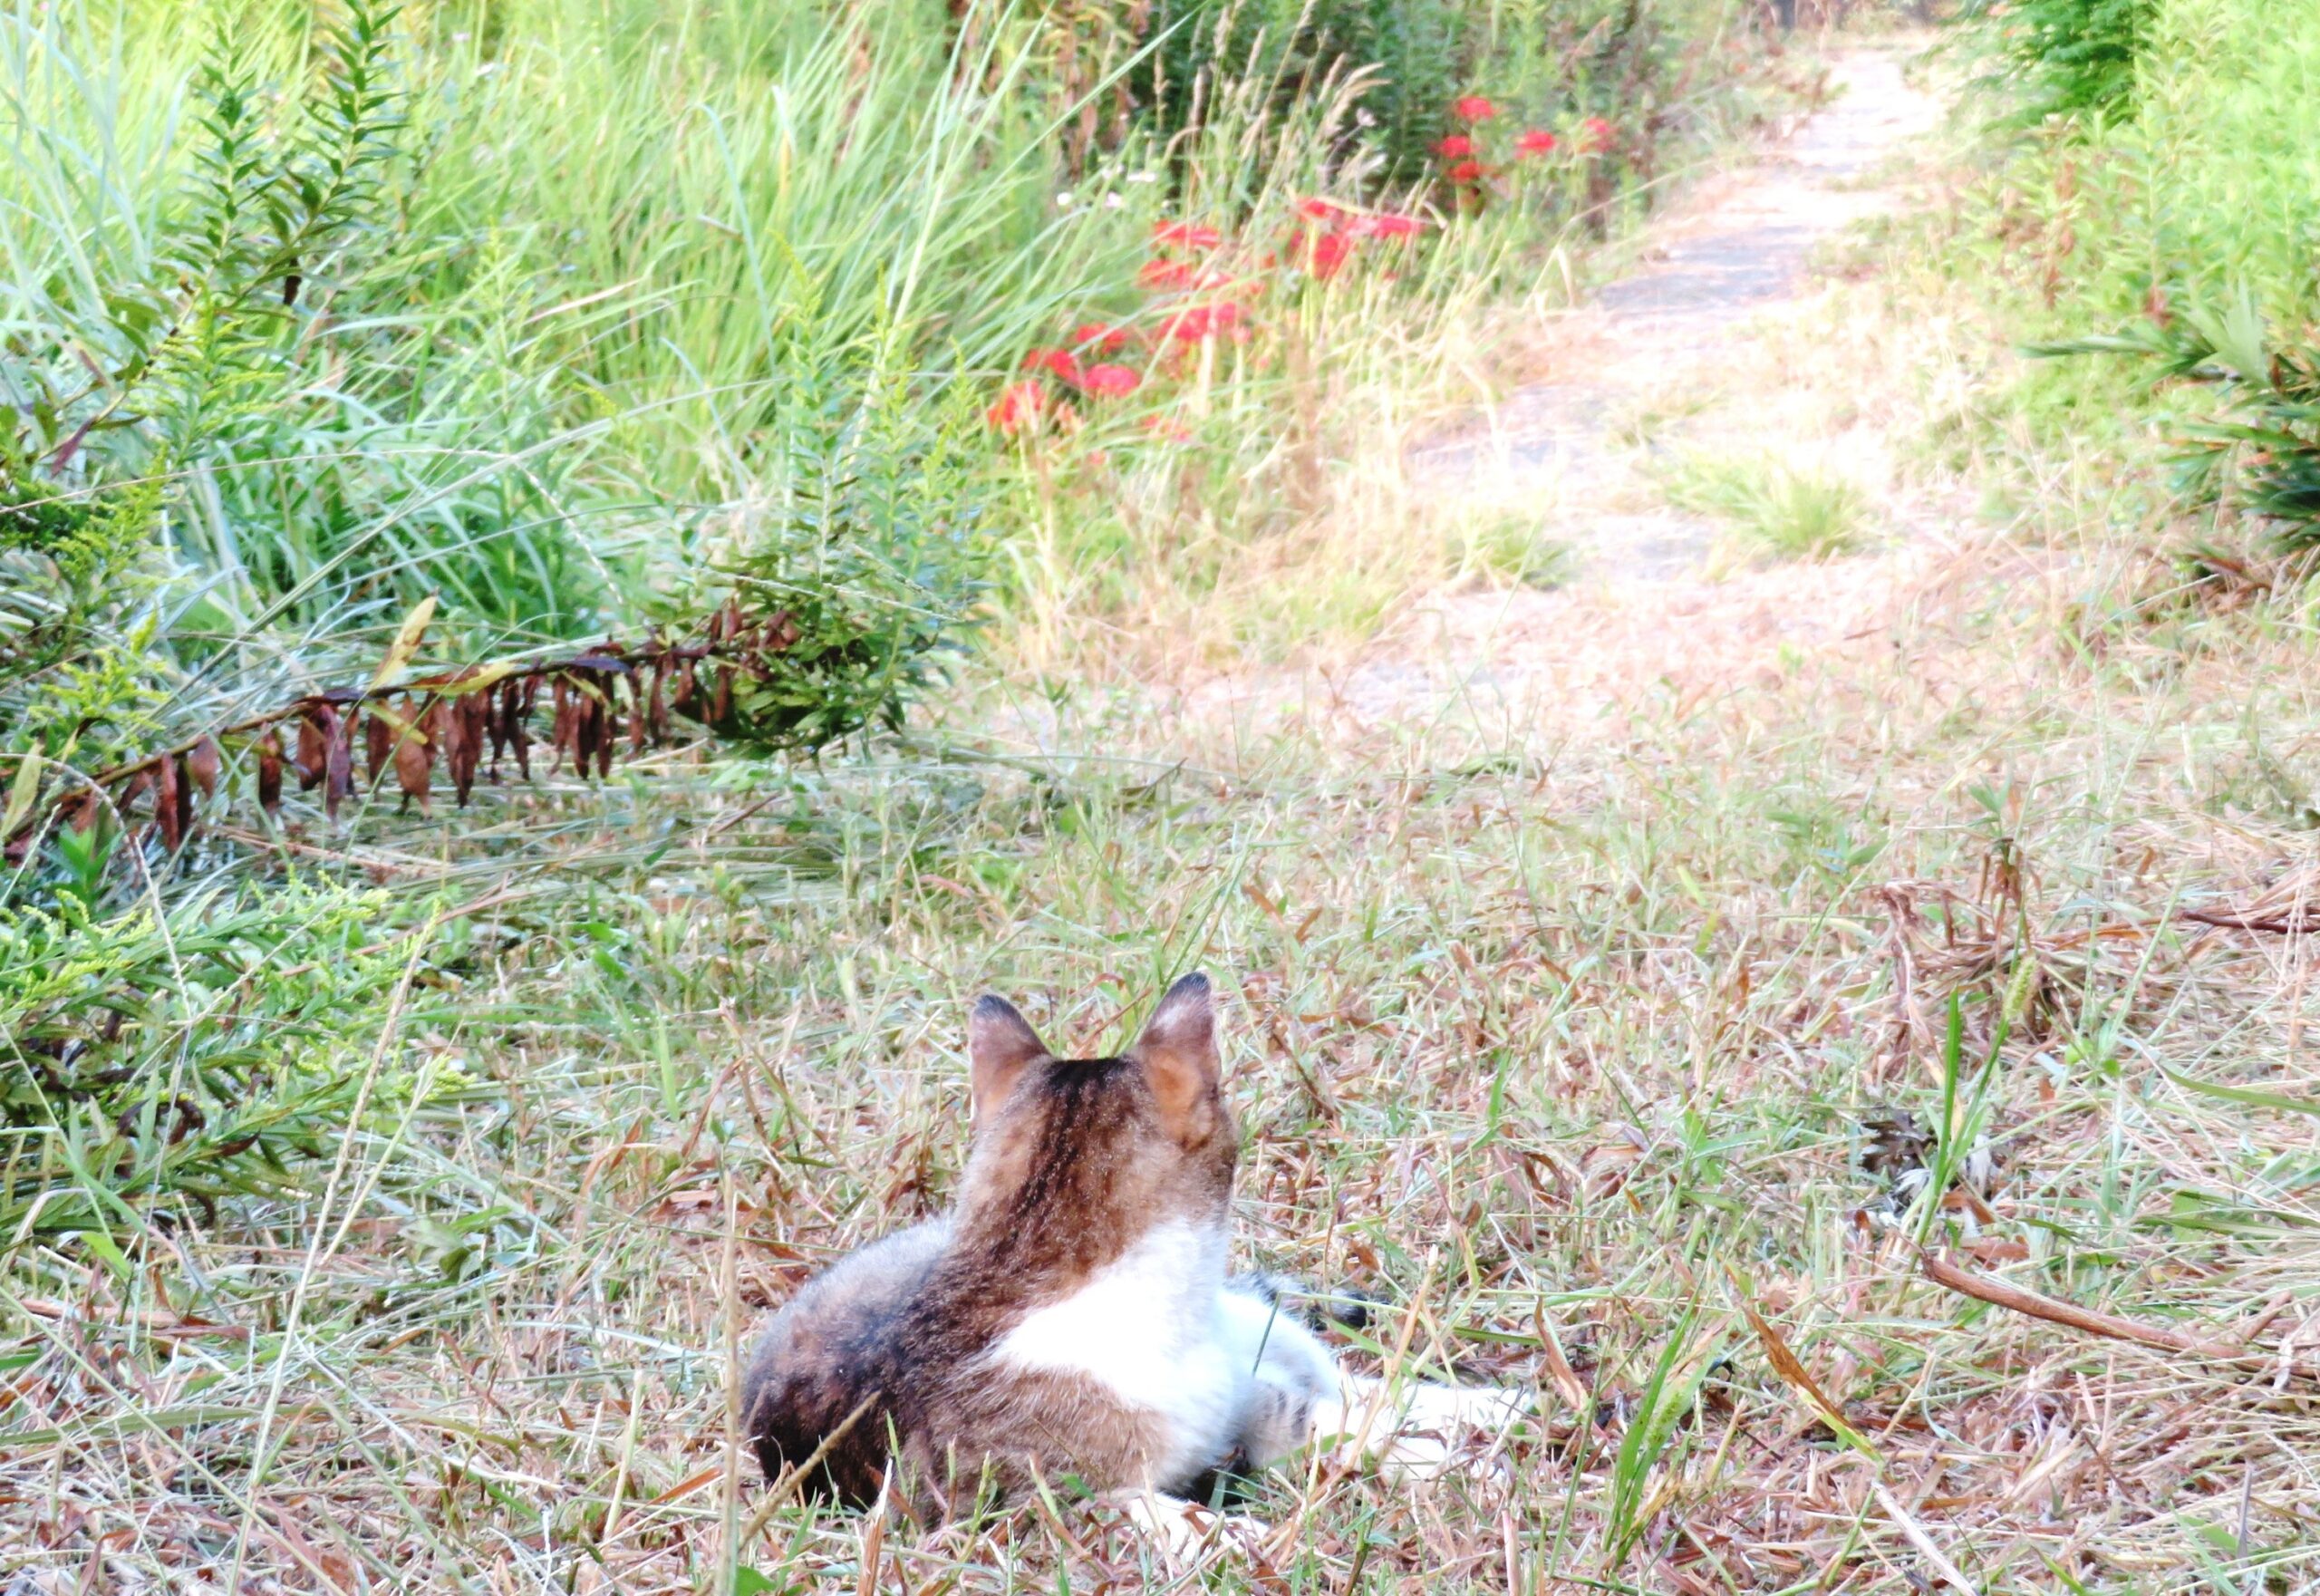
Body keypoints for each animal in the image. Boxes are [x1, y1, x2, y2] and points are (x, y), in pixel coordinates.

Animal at [738, 974, 1522, 1549]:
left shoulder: (1243, 1396)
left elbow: (1329, 1412)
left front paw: (1446, 1453)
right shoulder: (1006, 1506)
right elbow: (1137, 1508)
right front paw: (1239, 1533)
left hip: (1254, 1325)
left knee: (1340, 1374)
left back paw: (1490, 1402)